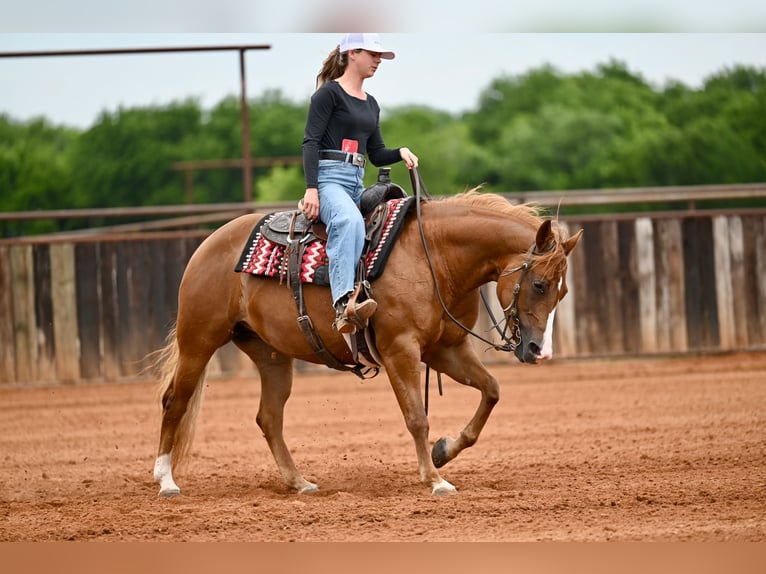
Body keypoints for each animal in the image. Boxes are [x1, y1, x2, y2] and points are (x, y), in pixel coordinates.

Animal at [152, 188, 582, 497]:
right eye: (539, 284)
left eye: (562, 292)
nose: (539, 351)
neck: (435, 258)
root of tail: (209, 244)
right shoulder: (399, 350)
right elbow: (417, 417)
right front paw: (434, 479)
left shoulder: (446, 349)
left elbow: (491, 391)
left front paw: (444, 451)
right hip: (198, 340)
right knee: (175, 400)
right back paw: (166, 480)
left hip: (271, 355)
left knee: (269, 417)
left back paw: (298, 482)